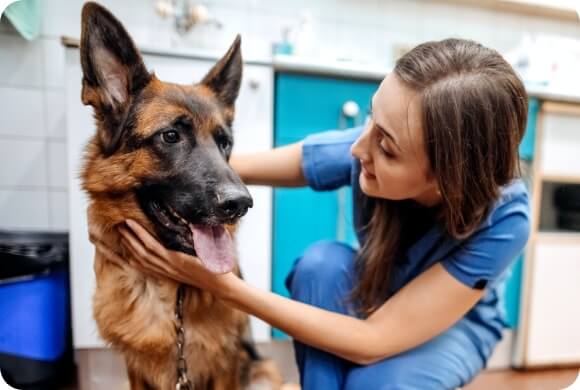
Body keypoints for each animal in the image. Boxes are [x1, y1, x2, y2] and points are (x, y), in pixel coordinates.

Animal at [79, 2, 284, 386]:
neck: (170, 292)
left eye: (225, 143)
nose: (240, 204)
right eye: (170, 136)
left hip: (265, 371)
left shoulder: (225, 364)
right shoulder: (136, 368)